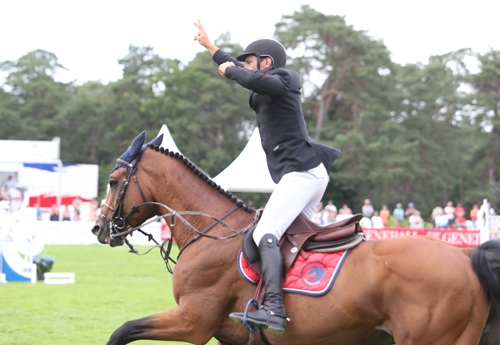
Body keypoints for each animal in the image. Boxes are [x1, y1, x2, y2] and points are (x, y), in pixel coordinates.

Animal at [92, 130, 500, 342]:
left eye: (113, 181)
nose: (98, 228)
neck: (211, 231)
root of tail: (463, 256)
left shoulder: (194, 320)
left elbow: (122, 331)